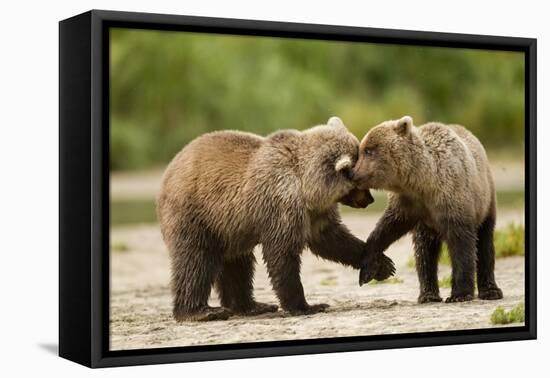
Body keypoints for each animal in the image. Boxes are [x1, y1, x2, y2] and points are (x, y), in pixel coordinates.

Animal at [157, 116, 394, 320]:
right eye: (360, 181)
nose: (370, 199)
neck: (308, 188)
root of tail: (169, 170)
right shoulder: (281, 204)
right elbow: (282, 253)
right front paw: (307, 306)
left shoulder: (316, 213)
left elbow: (332, 240)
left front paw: (381, 264)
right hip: (196, 214)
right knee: (195, 260)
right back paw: (201, 311)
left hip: (229, 228)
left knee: (238, 265)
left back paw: (251, 306)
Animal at [354, 116, 504, 304]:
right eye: (362, 150)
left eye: (368, 151)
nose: (353, 173)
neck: (423, 182)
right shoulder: (409, 204)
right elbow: (387, 228)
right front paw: (367, 269)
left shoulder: (453, 199)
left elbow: (462, 245)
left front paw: (459, 294)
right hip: (427, 227)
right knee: (425, 253)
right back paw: (428, 295)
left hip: (485, 201)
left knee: (485, 243)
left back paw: (491, 291)